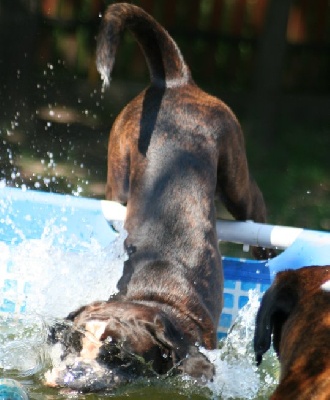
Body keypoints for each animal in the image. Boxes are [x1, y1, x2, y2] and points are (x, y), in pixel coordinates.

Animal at [45, 1, 274, 392]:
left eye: (120, 357)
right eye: (71, 343)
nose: (76, 372)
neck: (151, 299)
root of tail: (174, 82)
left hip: (235, 178)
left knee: (254, 214)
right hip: (119, 179)